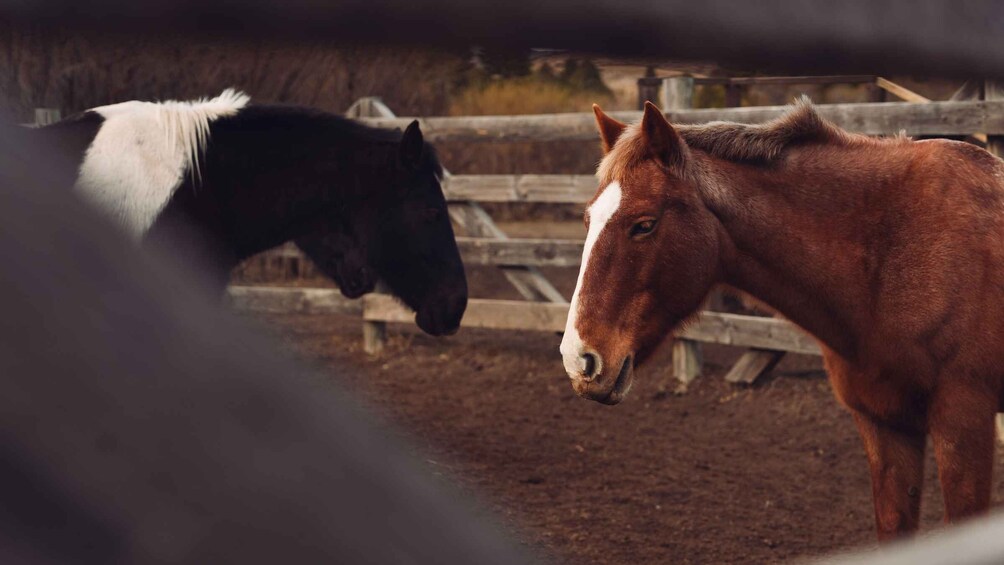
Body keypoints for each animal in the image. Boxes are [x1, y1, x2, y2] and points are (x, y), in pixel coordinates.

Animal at [561, 99, 1004, 540]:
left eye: (644, 225)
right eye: (587, 221)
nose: (578, 358)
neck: (891, 252)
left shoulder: (963, 426)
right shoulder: (885, 426)